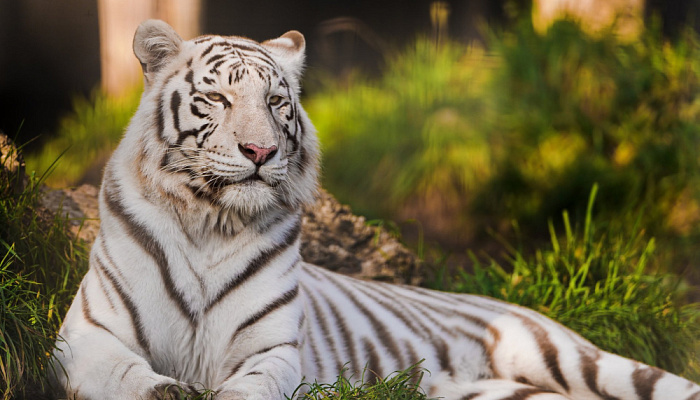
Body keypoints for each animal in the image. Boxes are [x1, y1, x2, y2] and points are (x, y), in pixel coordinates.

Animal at [53, 19, 700, 400]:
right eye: (217, 98)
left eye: (276, 102)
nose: (260, 152)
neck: (210, 222)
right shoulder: (87, 336)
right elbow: (128, 376)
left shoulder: (273, 350)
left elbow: (251, 387)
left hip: (574, 357)